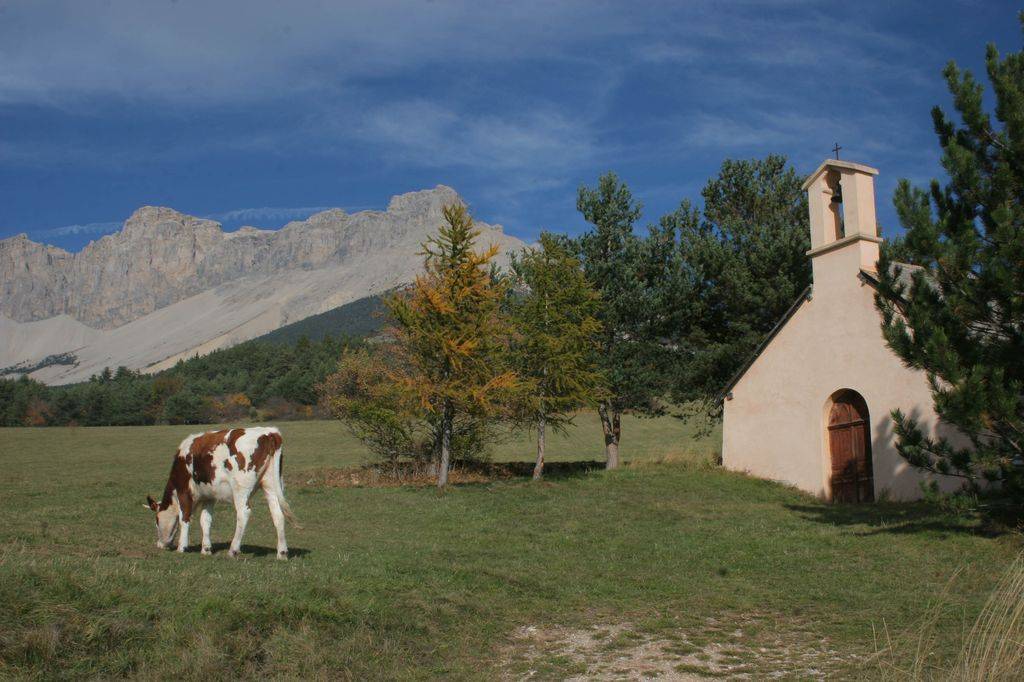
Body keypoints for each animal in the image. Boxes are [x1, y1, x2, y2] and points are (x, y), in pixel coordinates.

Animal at [146, 425, 296, 557]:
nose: (159, 544)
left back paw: (233, 550)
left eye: (157, 521)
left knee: (243, 513)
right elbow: (205, 520)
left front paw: (182, 547)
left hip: (240, 489)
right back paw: (282, 552)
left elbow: (185, 518)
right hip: (271, 485)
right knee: (278, 514)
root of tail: (269, 432)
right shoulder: (209, 496)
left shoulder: (184, 491)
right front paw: (206, 549)